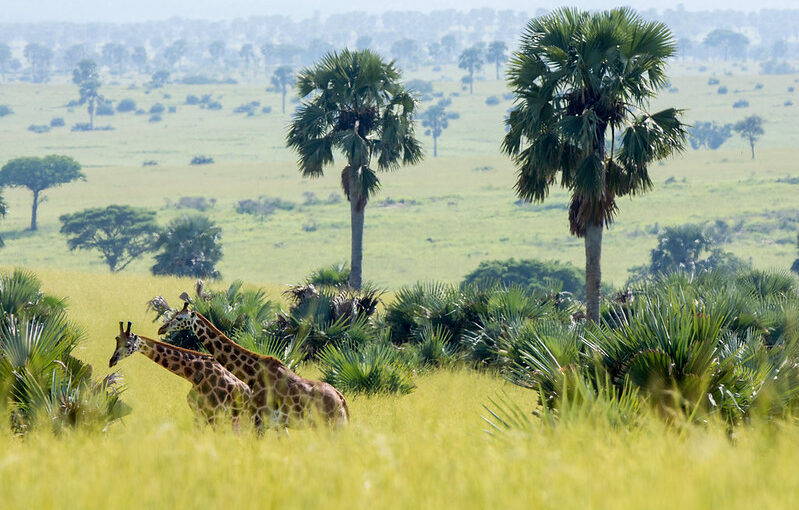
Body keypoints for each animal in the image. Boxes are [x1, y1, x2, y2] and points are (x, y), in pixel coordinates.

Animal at [109, 320, 252, 428]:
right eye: (116, 340)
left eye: (128, 345)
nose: (112, 361)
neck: (194, 373)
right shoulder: (199, 414)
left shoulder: (215, 414)